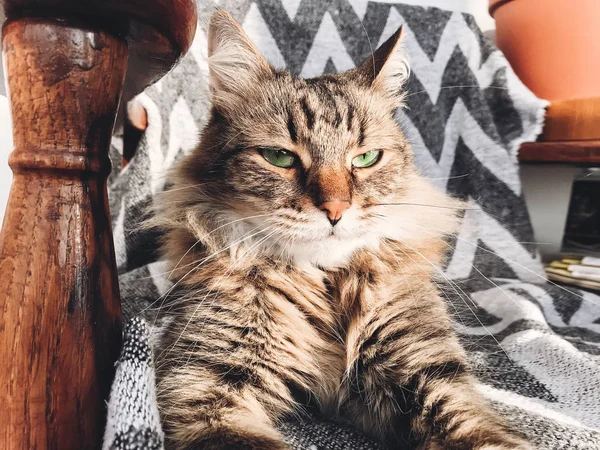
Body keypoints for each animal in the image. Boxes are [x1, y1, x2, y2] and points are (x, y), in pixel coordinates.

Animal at [152, 9, 532, 450]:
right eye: (279, 157)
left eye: (366, 158)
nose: (335, 209)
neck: (325, 285)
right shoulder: (203, 382)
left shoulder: (427, 371)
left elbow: (477, 430)